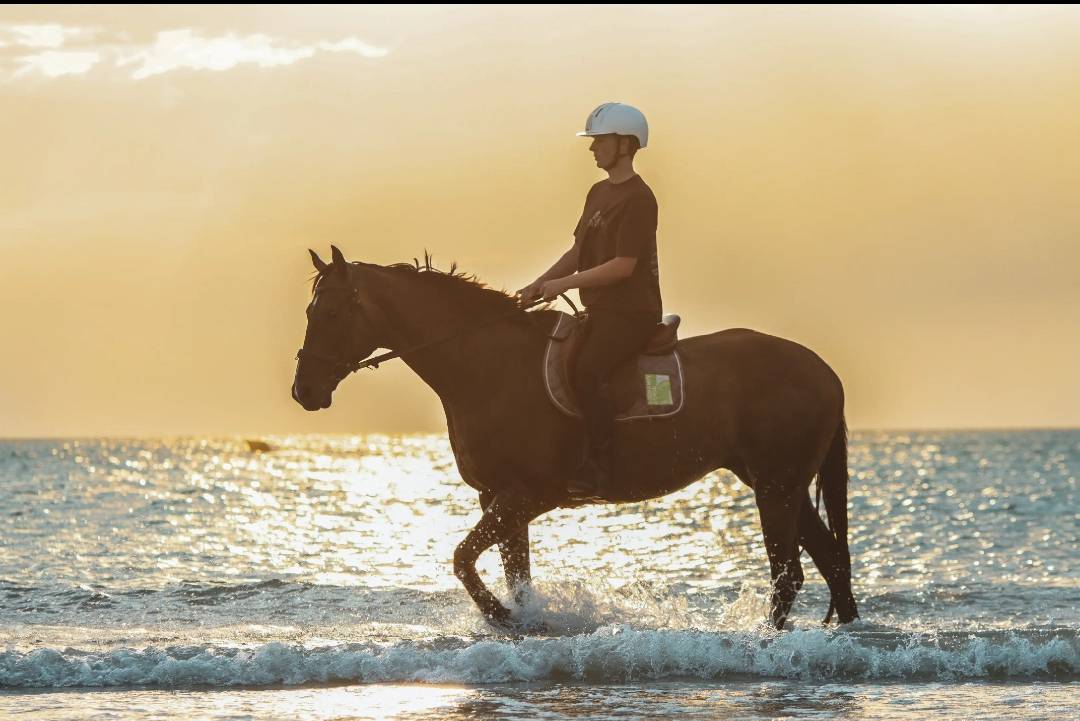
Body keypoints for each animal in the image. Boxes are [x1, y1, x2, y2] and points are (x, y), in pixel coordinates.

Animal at [291, 246, 859, 631]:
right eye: (309, 311)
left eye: (333, 312)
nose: (304, 391)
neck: (488, 367)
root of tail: (825, 370)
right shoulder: (498, 498)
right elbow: (514, 574)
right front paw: (524, 622)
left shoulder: (529, 496)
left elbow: (462, 560)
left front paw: (501, 617)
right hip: (777, 483)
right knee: (829, 562)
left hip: (777, 486)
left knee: (790, 574)